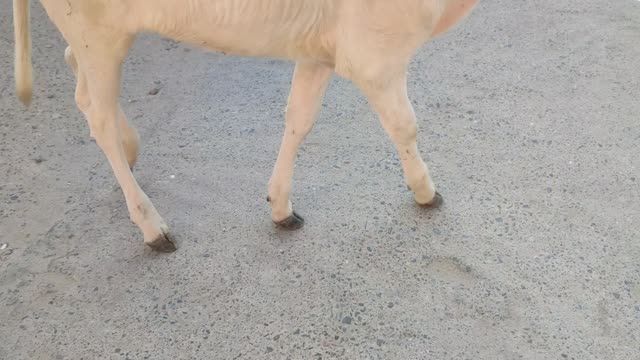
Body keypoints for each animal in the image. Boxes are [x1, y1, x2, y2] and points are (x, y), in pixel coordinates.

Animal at [12, 0, 478, 252]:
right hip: (95, 31)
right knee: (99, 114)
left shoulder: (320, 50)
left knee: (82, 85)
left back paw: (129, 151)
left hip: (97, 38)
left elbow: (299, 119)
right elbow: (404, 125)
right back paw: (151, 225)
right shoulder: (376, 58)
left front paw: (280, 205)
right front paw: (425, 191)